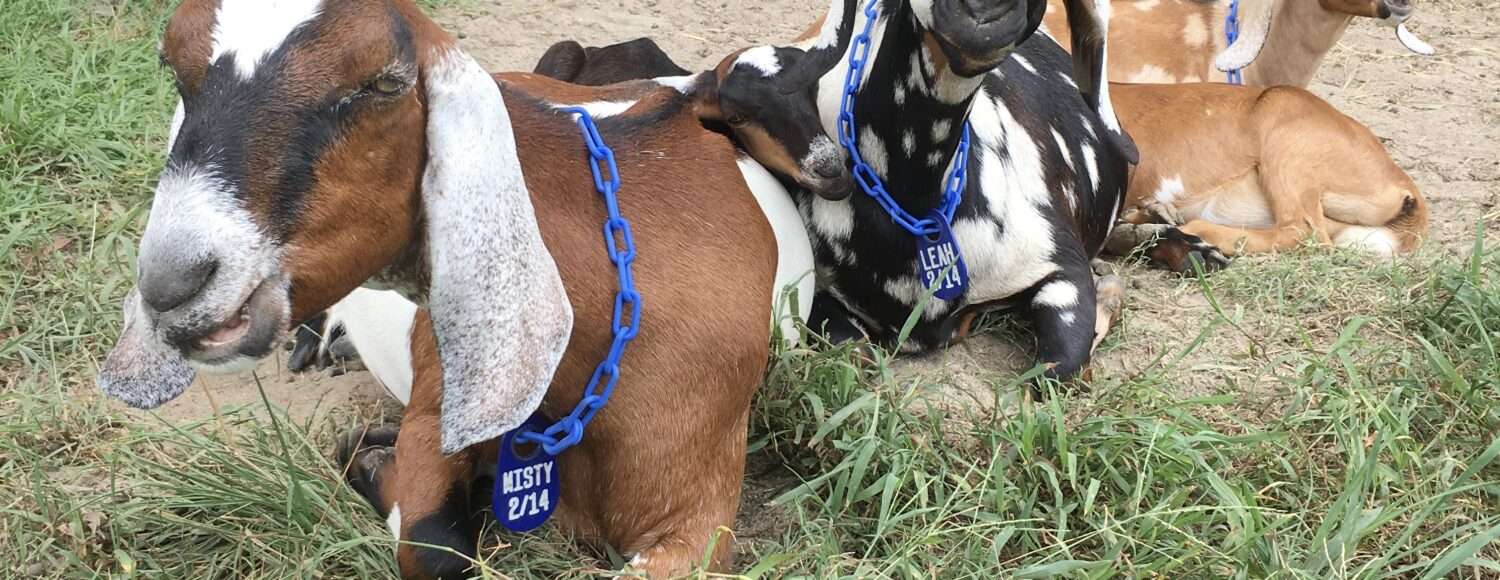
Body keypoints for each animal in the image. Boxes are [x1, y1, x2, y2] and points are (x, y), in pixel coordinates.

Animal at [95, 0, 815, 577]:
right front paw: (371, 459)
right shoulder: (436, 409)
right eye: (174, 68)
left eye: (383, 81)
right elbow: (434, 543)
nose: (172, 283)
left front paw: (370, 457)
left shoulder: (700, 504)